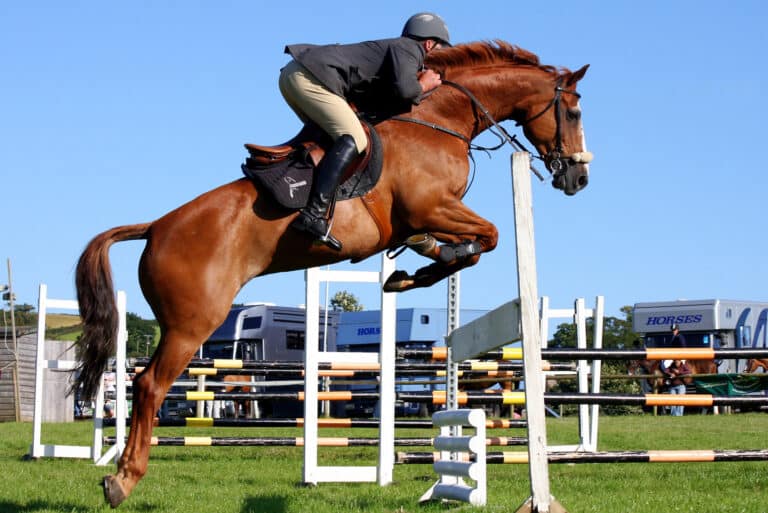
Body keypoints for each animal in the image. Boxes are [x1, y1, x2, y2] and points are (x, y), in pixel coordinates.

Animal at [72, 42, 592, 506]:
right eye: (573, 112)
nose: (578, 179)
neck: (440, 121)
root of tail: (157, 227)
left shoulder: (420, 221)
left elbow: (461, 247)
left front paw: (411, 273)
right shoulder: (432, 207)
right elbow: (490, 236)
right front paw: (425, 269)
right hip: (191, 323)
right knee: (149, 386)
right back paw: (122, 480)